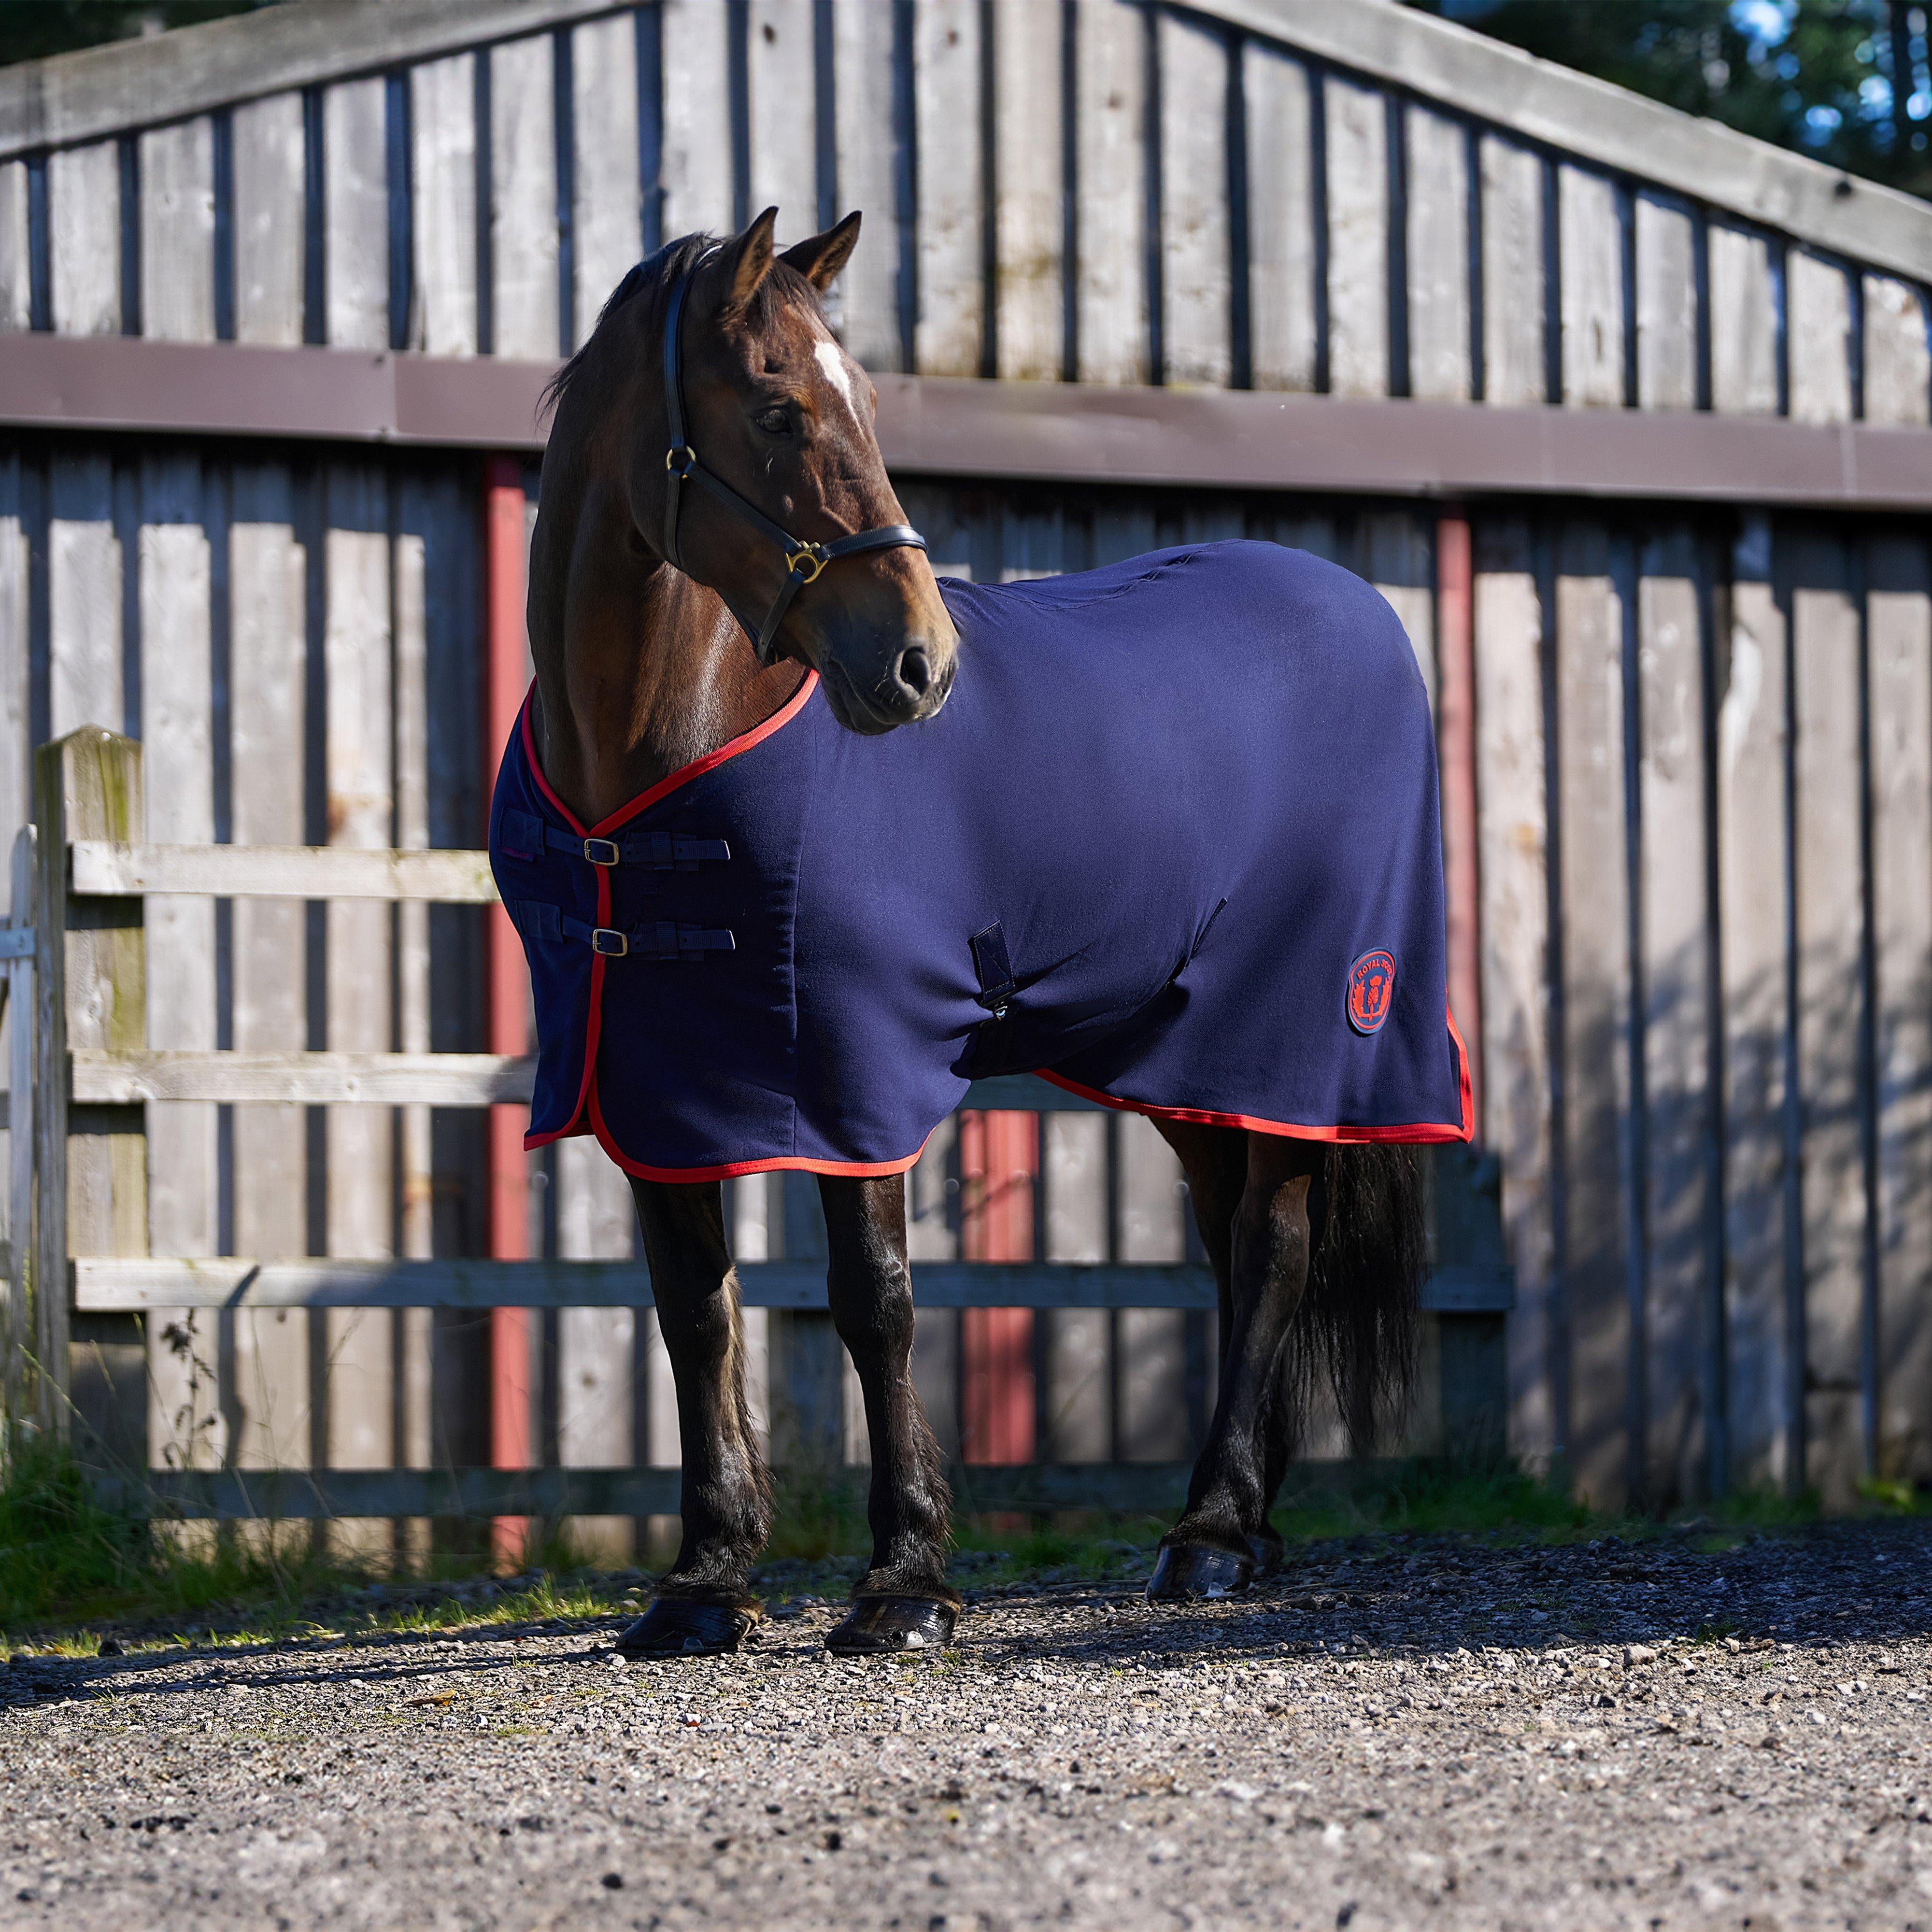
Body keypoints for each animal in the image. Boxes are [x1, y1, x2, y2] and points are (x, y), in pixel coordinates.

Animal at [514, 212, 1453, 1662]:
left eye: (865, 398)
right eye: (778, 410)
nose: (919, 666)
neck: (666, 753)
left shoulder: (848, 1064)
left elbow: (875, 1299)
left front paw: (905, 1582)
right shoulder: (655, 1073)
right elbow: (694, 1308)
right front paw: (706, 1580)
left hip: (1301, 1032)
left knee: (1273, 1246)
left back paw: (1209, 1534)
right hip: (1184, 1061)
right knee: (1232, 1245)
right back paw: (1246, 1521)